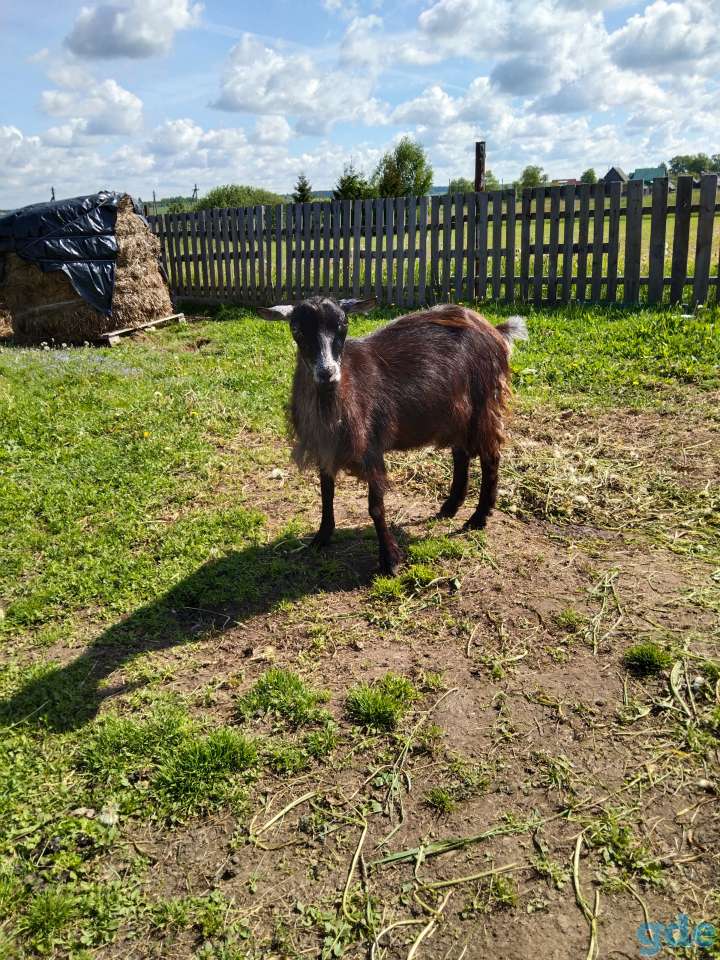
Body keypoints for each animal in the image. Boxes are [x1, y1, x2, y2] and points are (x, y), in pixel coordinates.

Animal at [257, 297, 528, 574]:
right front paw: (321, 538)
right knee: (461, 455)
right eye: (297, 329)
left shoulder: (371, 447)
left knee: (490, 456)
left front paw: (390, 559)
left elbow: (376, 507)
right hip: (456, 414)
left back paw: (479, 517)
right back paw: (449, 507)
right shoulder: (326, 448)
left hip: (484, 404)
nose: (327, 372)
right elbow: (326, 494)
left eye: (343, 324)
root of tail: (494, 330)